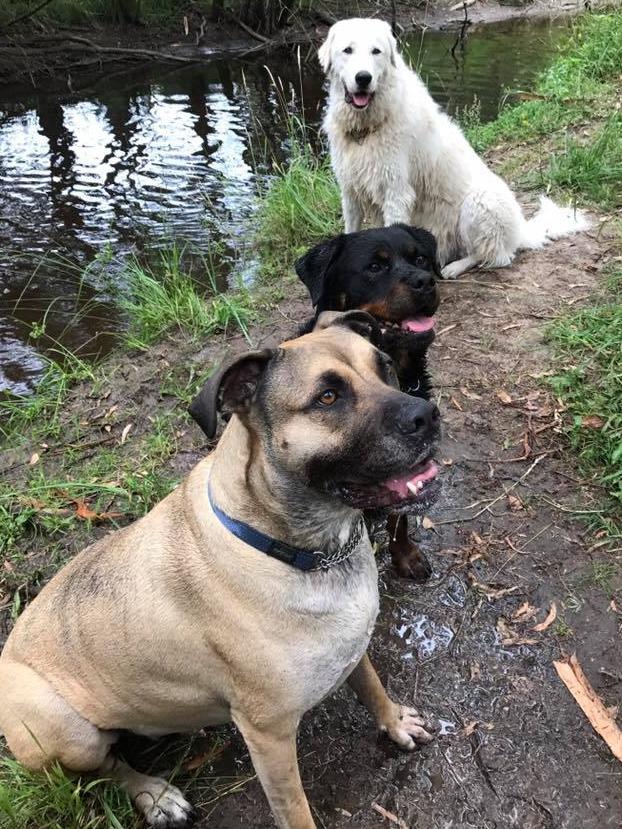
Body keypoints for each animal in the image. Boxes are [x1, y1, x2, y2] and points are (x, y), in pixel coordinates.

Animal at [0, 312, 442, 828]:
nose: (427, 415)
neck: (298, 546)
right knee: (107, 768)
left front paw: (393, 722)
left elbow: (371, 685)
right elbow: (295, 809)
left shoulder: (353, 649)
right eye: (328, 398)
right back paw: (155, 795)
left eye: (385, 368)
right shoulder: (269, 737)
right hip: (67, 731)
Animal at [320, 17, 592, 278]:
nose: (363, 78)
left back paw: (454, 268)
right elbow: (350, 230)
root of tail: (520, 232)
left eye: (376, 51)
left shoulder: (396, 193)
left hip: (478, 203)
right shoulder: (350, 190)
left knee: (492, 256)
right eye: (348, 50)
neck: (366, 129)